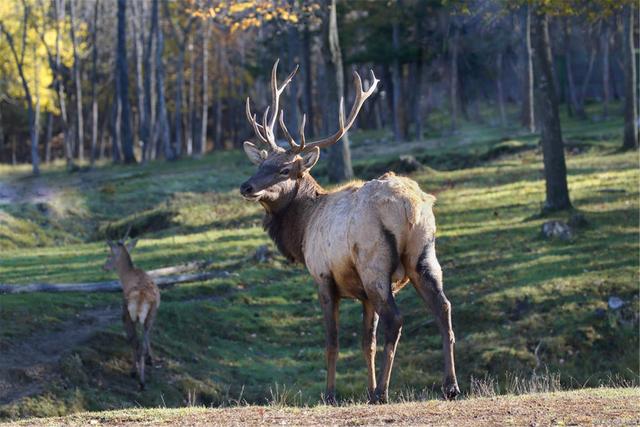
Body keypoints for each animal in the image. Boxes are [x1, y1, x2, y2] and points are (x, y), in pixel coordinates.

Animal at [104, 227, 160, 392]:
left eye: (109, 254)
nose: (103, 267)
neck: (126, 276)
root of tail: (141, 298)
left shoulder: (125, 314)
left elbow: (132, 339)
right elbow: (148, 337)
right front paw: (151, 359)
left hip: (127, 314)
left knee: (135, 342)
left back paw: (137, 375)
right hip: (149, 314)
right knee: (142, 340)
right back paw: (143, 378)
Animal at [240, 60, 460, 404]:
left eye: (285, 169)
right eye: (261, 164)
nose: (246, 187)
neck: (302, 228)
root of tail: (410, 206)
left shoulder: (323, 277)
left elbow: (333, 342)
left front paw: (331, 394)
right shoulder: (363, 296)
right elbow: (366, 343)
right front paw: (366, 387)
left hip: (374, 263)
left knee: (396, 319)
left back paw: (383, 392)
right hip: (423, 255)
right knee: (443, 308)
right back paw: (450, 386)